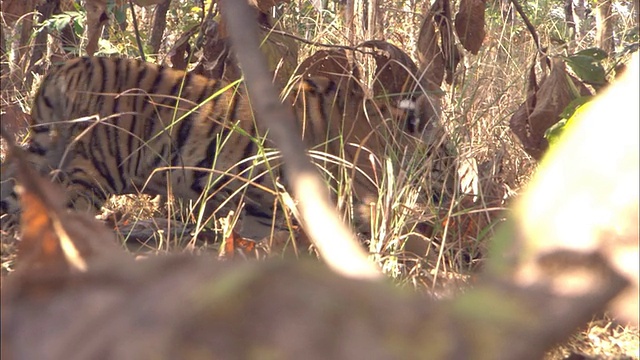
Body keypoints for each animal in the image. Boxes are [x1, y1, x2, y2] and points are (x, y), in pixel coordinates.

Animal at [2, 57, 458, 239]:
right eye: (448, 164)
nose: (457, 197)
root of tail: (66, 66)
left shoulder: (262, 204)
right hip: (96, 170)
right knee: (65, 210)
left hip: (46, 155)